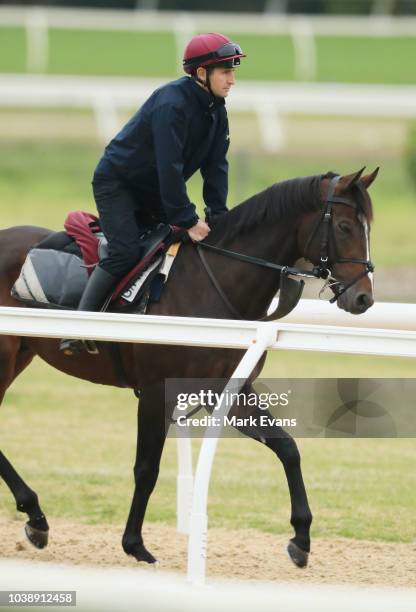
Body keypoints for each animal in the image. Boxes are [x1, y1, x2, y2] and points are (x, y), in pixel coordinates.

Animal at [0, 166, 376, 568]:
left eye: (368, 226)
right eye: (345, 227)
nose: (363, 298)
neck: (213, 284)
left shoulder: (226, 390)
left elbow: (287, 447)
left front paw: (301, 538)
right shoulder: (156, 390)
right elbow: (146, 469)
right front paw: (135, 543)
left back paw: (36, 517)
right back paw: (35, 514)